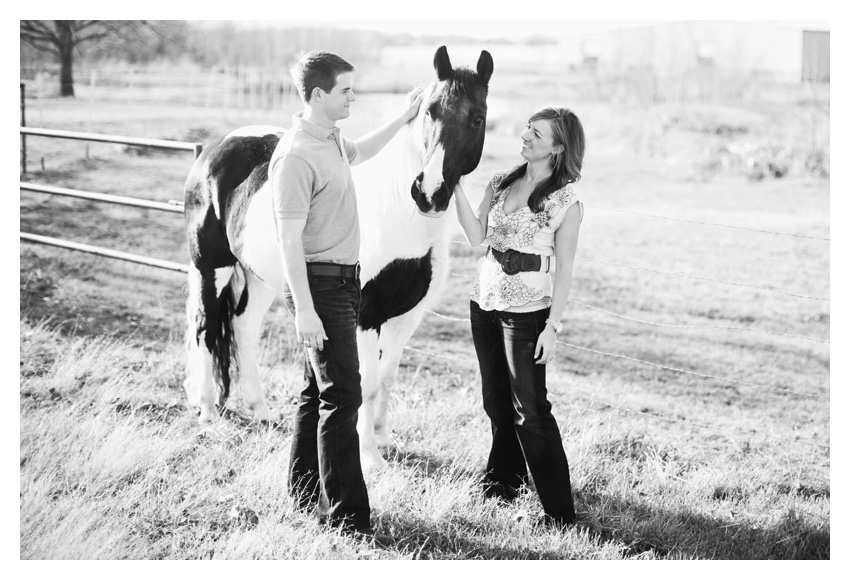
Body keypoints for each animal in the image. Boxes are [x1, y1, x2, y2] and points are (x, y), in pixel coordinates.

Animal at [182, 45, 494, 472]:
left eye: (477, 118)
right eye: (430, 112)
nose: (429, 193)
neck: (401, 219)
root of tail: (214, 148)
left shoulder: (407, 316)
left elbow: (387, 379)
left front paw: (384, 438)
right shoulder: (364, 317)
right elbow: (367, 382)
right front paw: (370, 457)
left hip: (261, 277)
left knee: (243, 329)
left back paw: (261, 410)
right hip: (211, 267)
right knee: (205, 327)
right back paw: (208, 411)